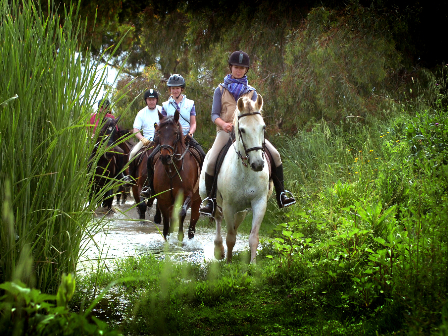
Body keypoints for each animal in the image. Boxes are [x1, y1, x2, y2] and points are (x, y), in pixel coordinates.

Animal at [155, 111, 202, 240]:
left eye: (175, 133)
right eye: (159, 132)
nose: (165, 157)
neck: (172, 170)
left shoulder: (187, 195)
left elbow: (181, 213)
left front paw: (180, 237)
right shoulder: (163, 199)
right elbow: (166, 226)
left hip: (197, 202)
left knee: (191, 229)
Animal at [200, 94, 272, 262]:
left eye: (263, 127)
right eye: (242, 130)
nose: (258, 164)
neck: (246, 171)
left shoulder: (259, 203)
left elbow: (253, 237)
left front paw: (253, 263)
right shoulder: (228, 206)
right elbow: (230, 237)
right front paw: (228, 261)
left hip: (242, 210)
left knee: (235, 223)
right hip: (211, 199)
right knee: (218, 218)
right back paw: (218, 249)